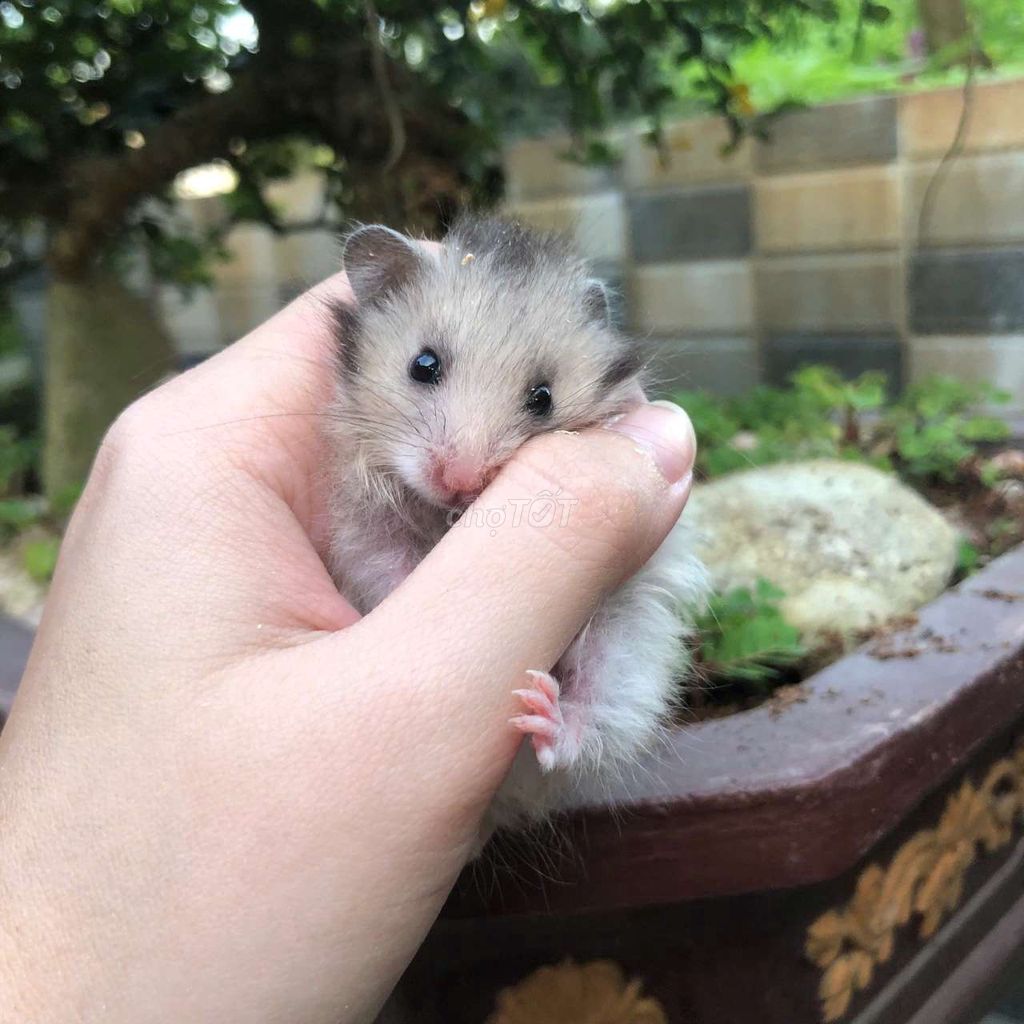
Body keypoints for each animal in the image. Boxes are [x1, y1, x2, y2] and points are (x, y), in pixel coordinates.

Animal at [325, 215, 705, 842]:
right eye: (423, 364)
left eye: (542, 398)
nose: (460, 481)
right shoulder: (357, 529)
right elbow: (387, 568)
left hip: (631, 656)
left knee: (594, 730)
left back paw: (547, 718)